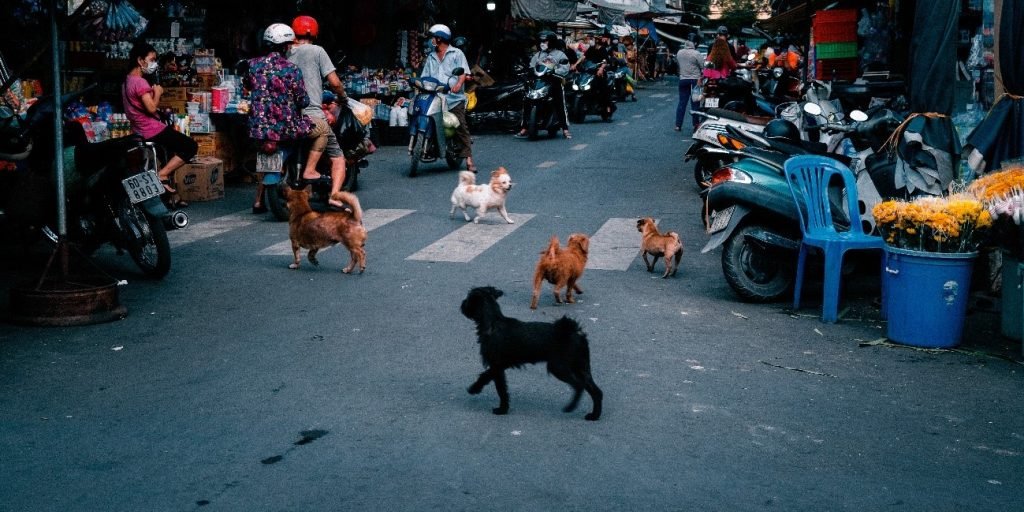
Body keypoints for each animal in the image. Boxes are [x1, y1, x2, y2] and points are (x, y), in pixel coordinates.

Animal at [460, 284, 602, 419]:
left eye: (468, 298)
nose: (462, 304)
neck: (493, 322)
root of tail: (575, 332)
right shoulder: (500, 367)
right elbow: (498, 385)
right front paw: (502, 407)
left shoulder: (497, 366)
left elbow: (495, 384)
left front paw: (495, 405)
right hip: (581, 368)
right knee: (595, 391)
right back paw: (594, 415)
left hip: (559, 368)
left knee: (579, 386)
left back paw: (570, 407)